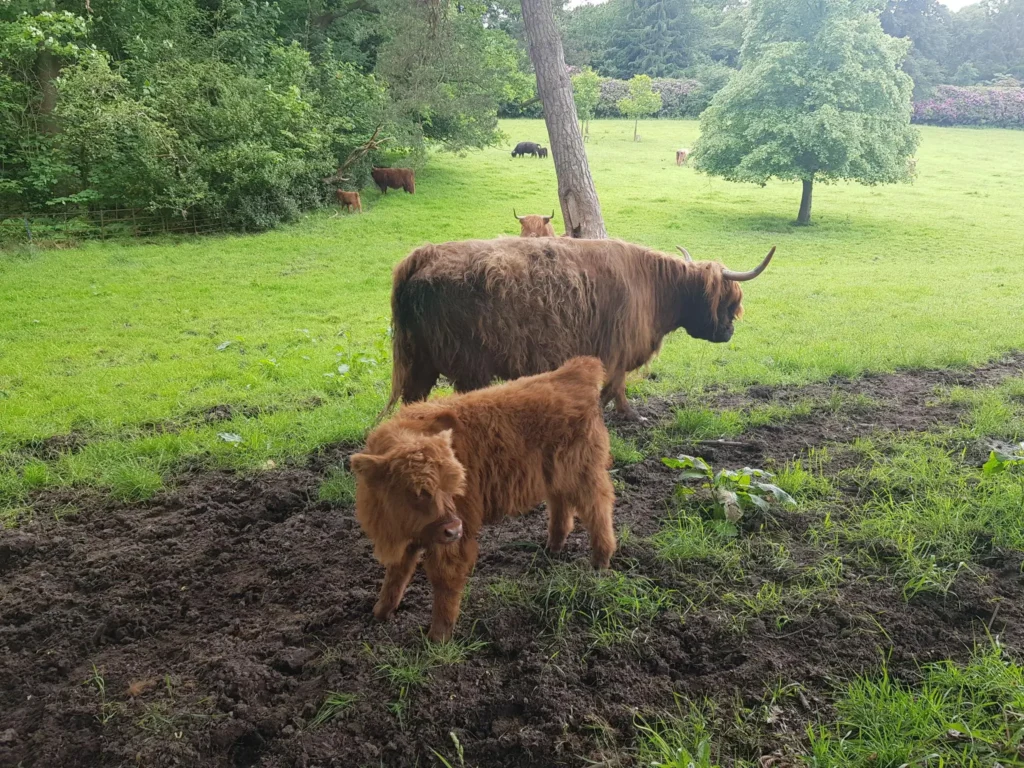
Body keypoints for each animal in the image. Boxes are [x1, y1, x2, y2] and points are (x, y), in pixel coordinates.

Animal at [352, 356, 616, 642]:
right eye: (417, 492)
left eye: (455, 486)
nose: (454, 529)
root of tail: (575, 370)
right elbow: (396, 574)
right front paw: (380, 611)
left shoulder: (454, 541)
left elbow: (444, 581)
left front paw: (438, 636)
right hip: (555, 475)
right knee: (561, 506)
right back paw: (553, 546)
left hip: (584, 474)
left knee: (598, 511)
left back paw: (600, 561)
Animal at [381, 238, 776, 421]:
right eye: (730, 303)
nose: (728, 333)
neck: (654, 290)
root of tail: (422, 255)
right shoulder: (616, 350)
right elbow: (613, 388)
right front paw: (625, 416)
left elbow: (613, 389)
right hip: (466, 362)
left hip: (420, 359)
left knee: (413, 399)